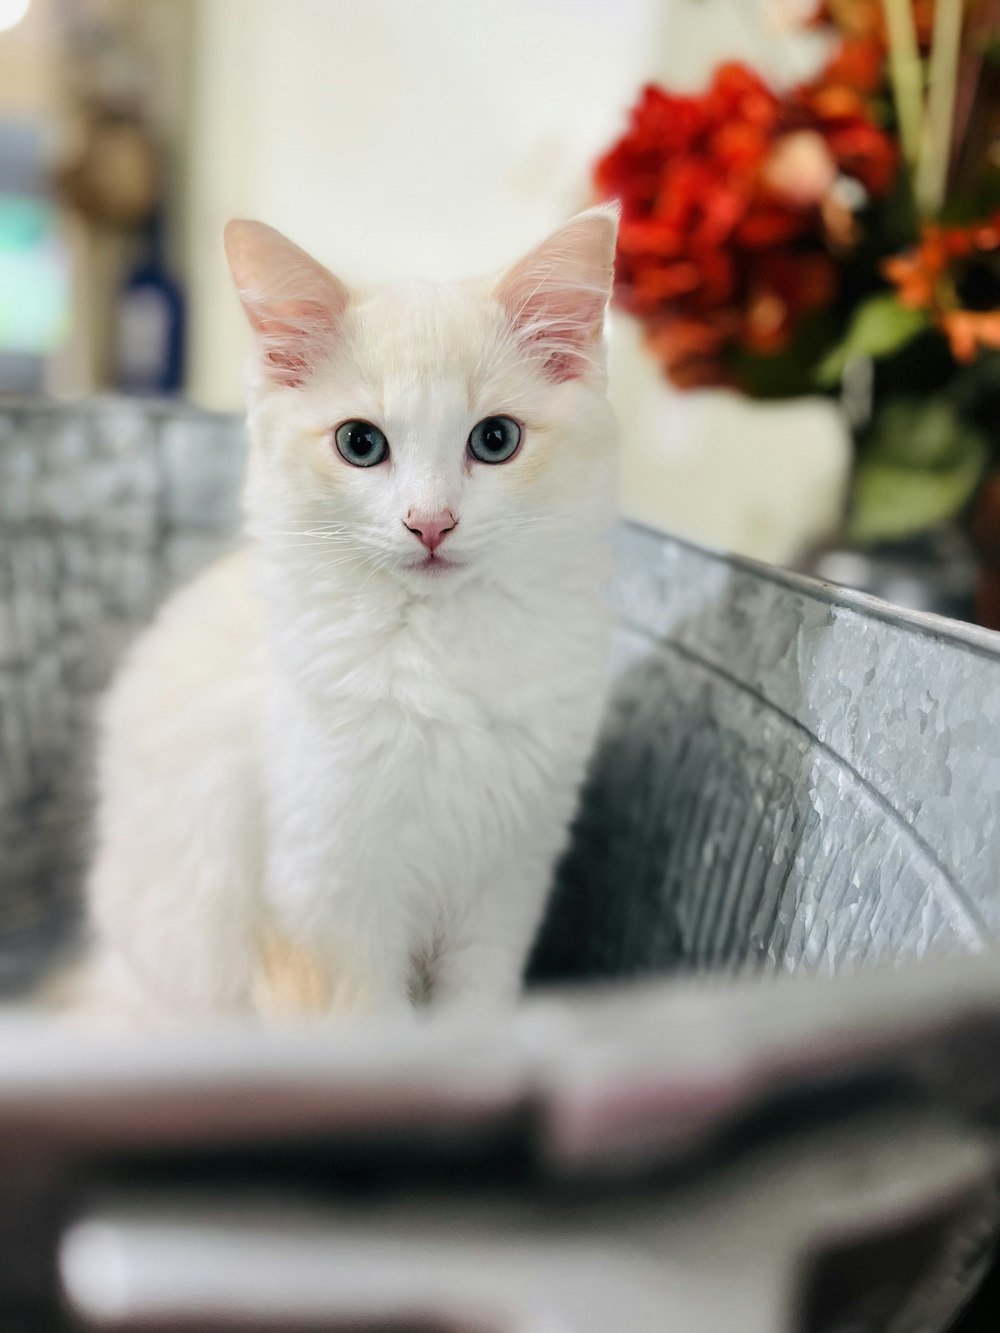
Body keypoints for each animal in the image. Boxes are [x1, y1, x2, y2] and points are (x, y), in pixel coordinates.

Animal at [82, 207, 624, 1023]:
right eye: (360, 443)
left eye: (495, 439)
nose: (430, 524)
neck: (437, 649)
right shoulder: (324, 901)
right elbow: (370, 1029)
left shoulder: (508, 876)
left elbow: (476, 1009)